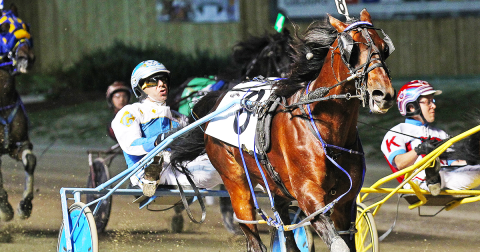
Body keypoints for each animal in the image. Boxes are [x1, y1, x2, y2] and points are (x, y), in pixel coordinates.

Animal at [171, 8, 396, 251]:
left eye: (383, 48)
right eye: (352, 50)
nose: (382, 94)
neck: (324, 128)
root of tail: (218, 103)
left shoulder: (346, 202)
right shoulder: (309, 196)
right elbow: (337, 243)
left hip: (275, 186)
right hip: (235, 180)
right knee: (249, 228)